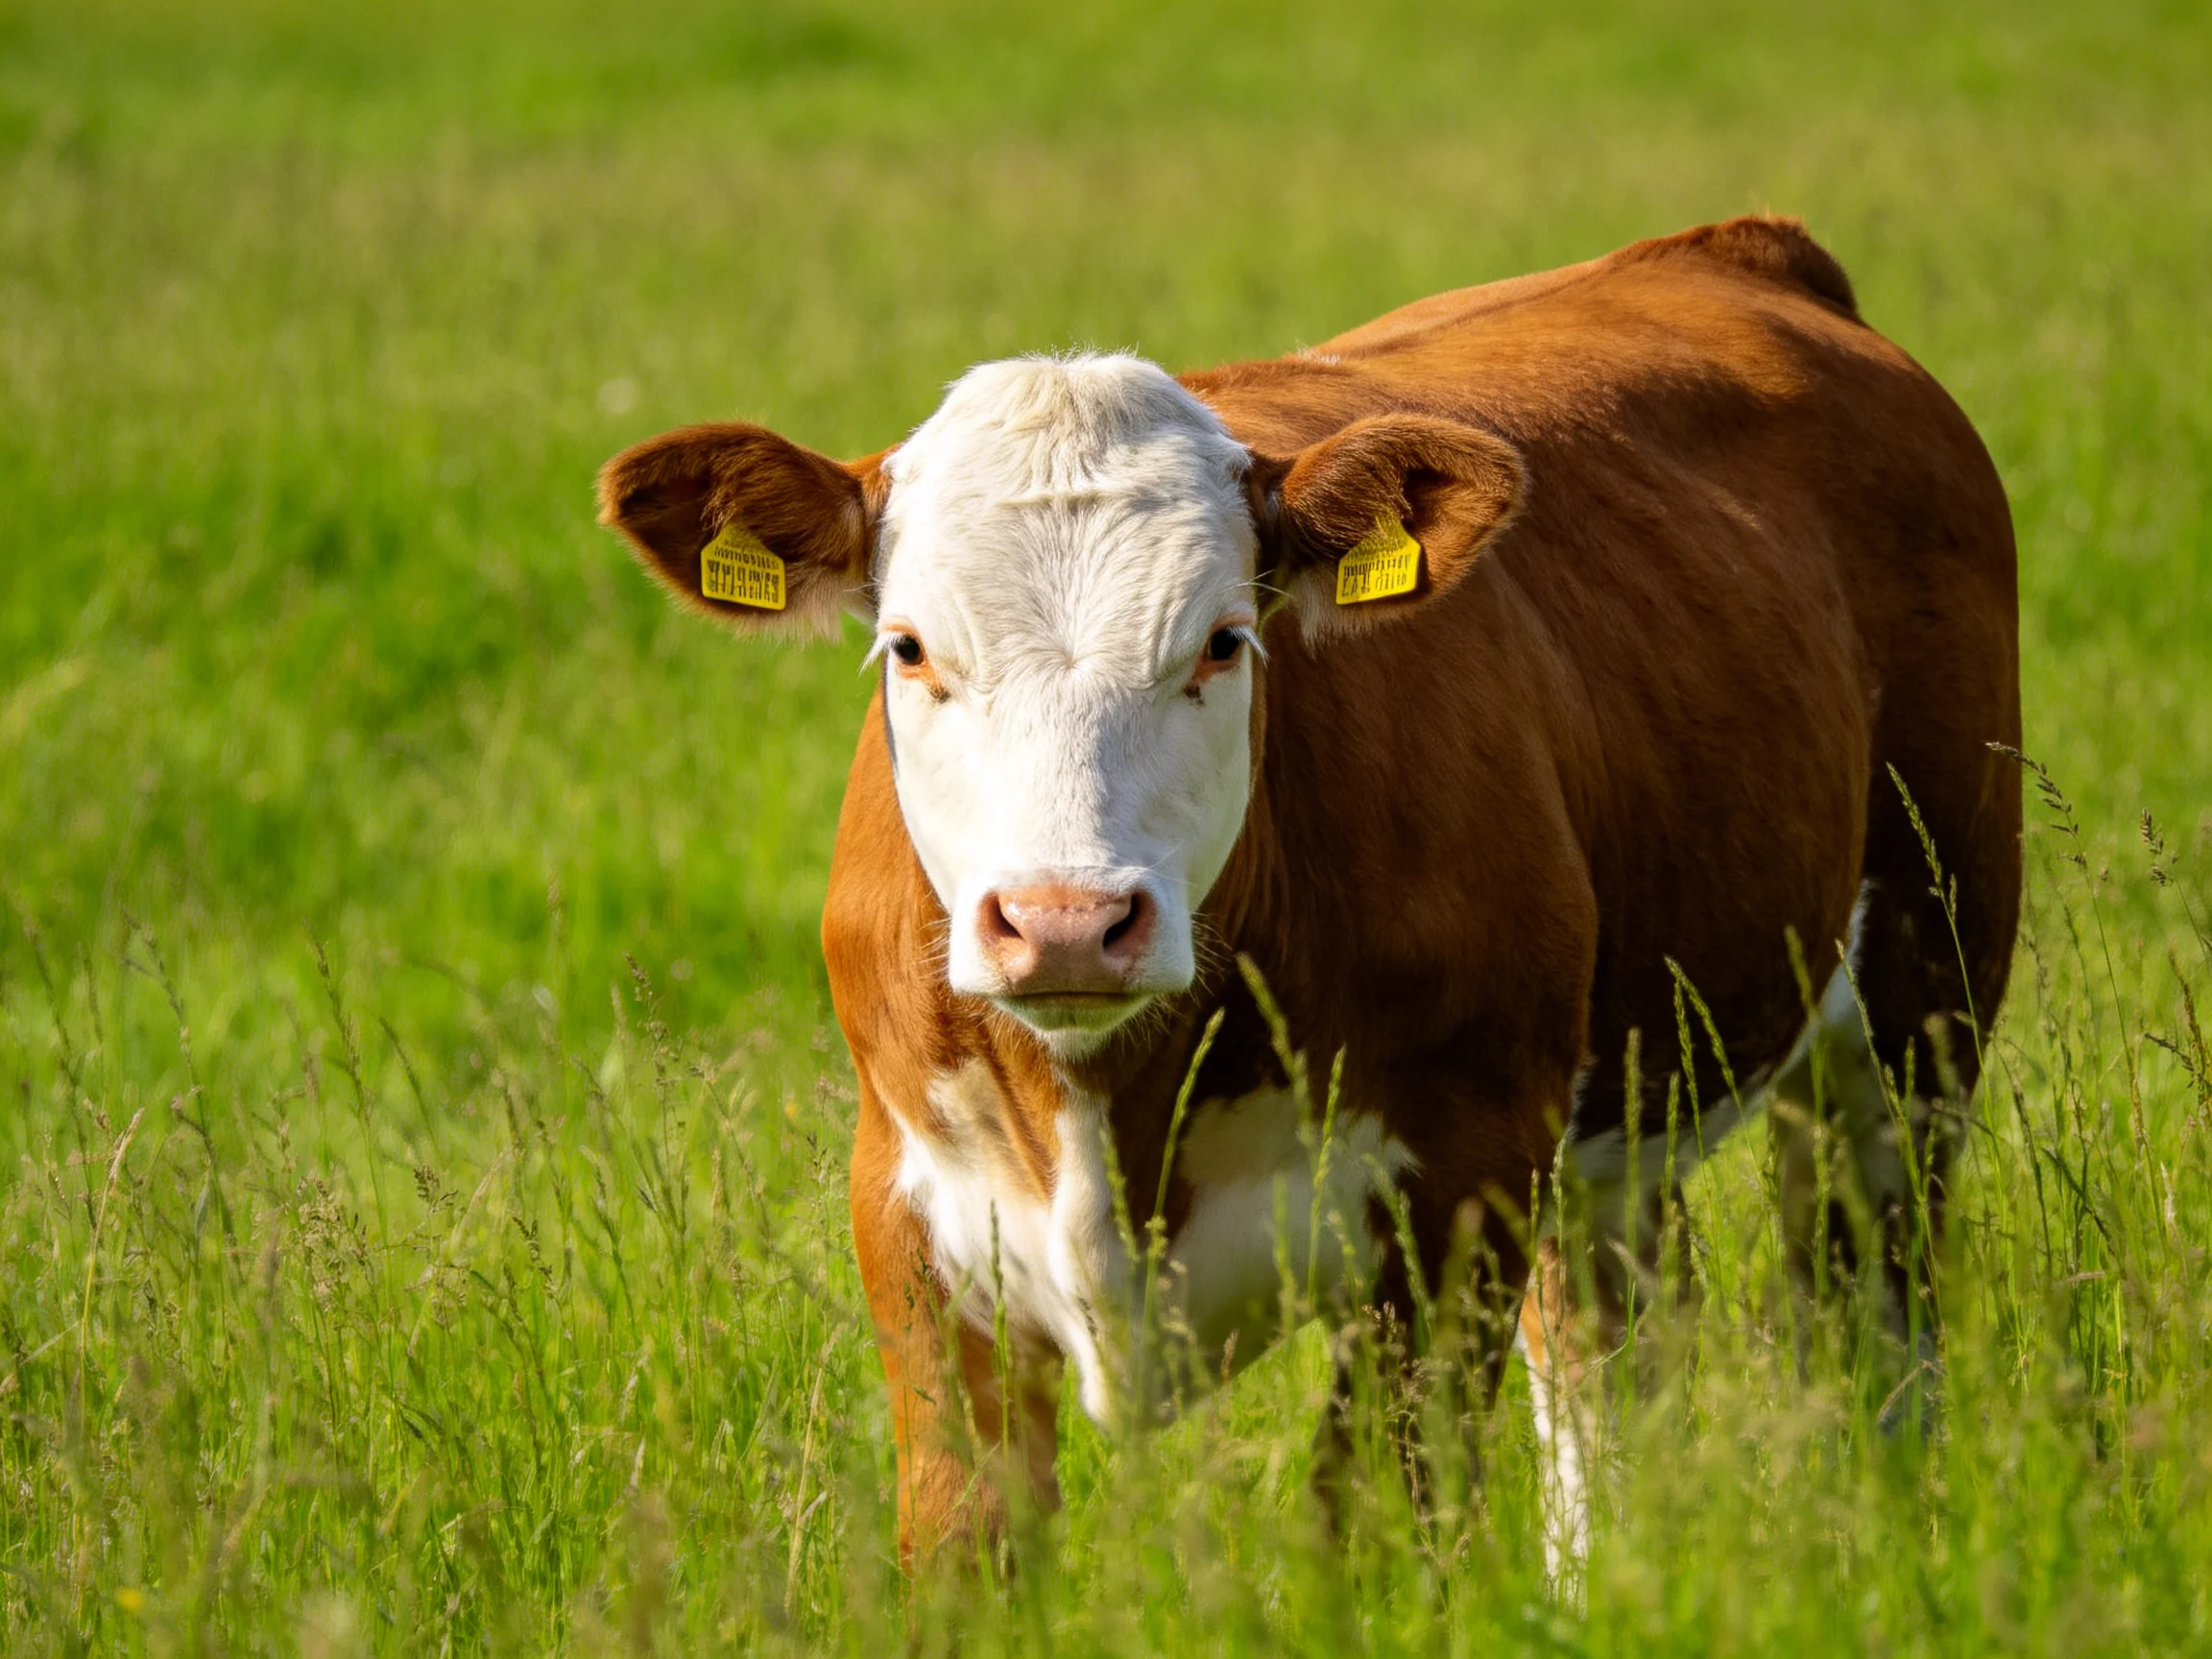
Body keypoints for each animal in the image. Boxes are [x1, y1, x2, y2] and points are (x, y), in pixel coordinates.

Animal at [597, 216, 2021, 1568]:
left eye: (1224, 642)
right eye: (908, 648)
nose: (1067, 925)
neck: (1112, 1116)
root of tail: (1742, 251)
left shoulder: (1456, 1199)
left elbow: (1377, 1534)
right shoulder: (915, 1230)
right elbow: (966, 1546)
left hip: (1920, 998)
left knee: (1872, 1319)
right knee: (1606, 1368)